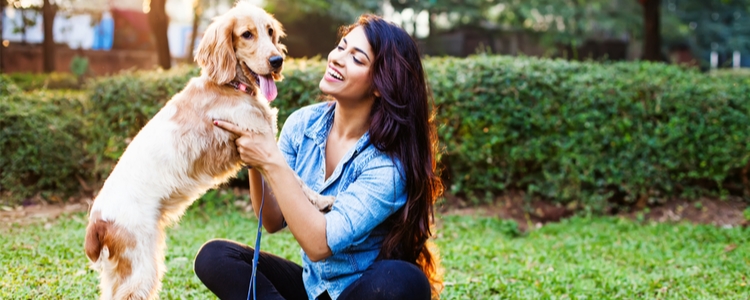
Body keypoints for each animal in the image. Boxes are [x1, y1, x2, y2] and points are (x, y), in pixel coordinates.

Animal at [83, 1, 334, 298]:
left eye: (270, 31)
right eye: (246, 34)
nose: (277, 61)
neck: (230, 86)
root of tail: (97, 220)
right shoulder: (260, 141)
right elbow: (296, 180)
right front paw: (321, 200)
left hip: (122, 271)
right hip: (139, 269)